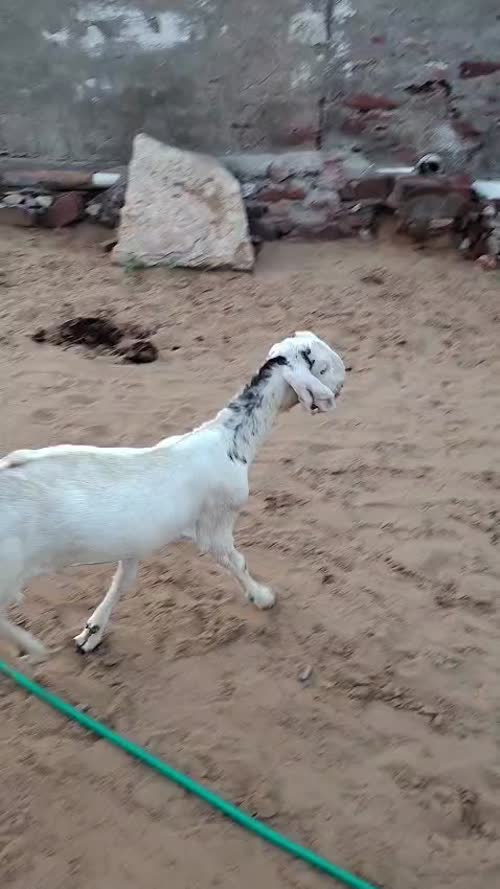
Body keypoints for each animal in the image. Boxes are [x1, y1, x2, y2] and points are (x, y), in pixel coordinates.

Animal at [0, 331, 345, 662]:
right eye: (323, 366)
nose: (345, 377)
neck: (229, 438)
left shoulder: (135, 540)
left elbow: (121, 582)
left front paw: (92, 632)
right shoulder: (215, 526)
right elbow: (237, 561)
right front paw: (262, 597)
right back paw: (29, 646)